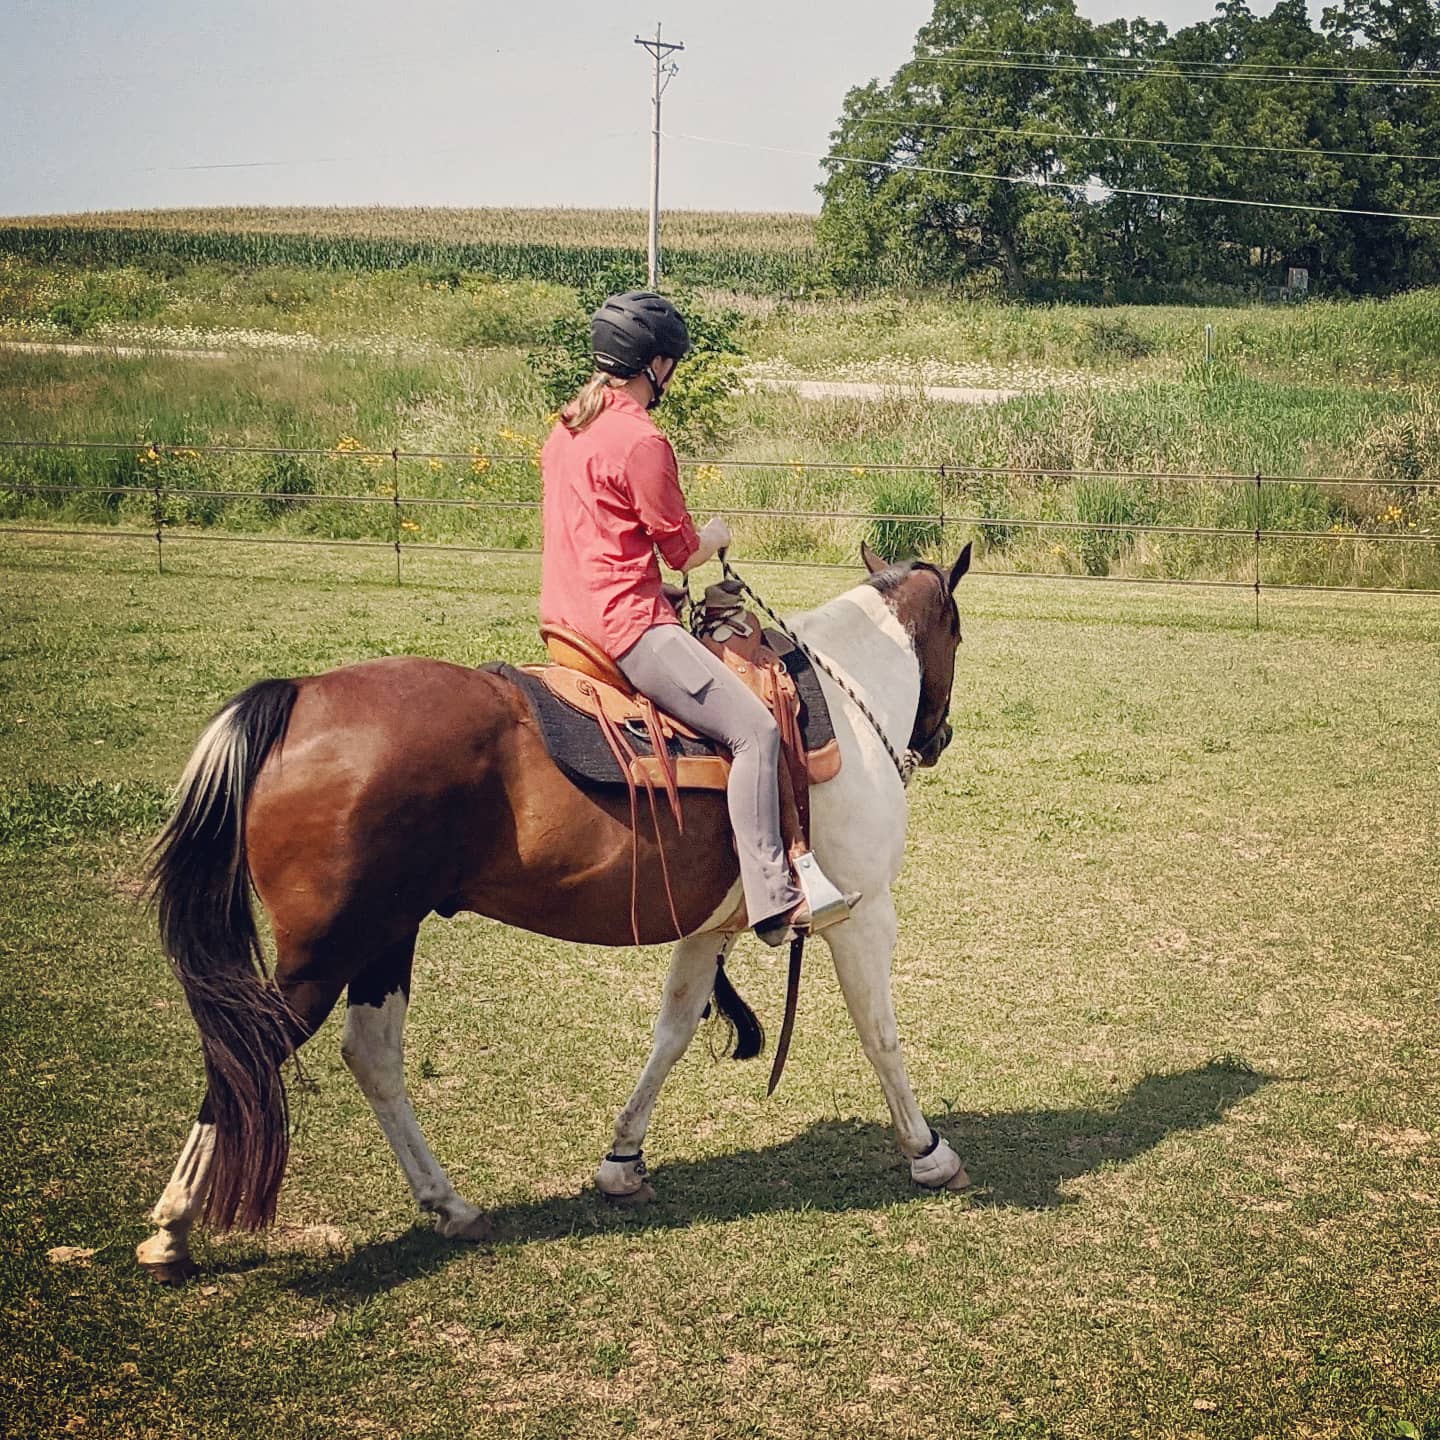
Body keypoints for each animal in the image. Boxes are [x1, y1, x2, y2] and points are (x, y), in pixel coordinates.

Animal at [135, 541, 974, 1280]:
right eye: (958, 634)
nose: (937, 738)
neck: (837, 706)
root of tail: (300, 697)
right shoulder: (863, 916)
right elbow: (880, 1035)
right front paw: (928, 1151)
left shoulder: (709, 929)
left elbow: (672, 1032)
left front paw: (623, 1160)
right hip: (325, 954)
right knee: (248, 1055)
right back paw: (173, 1227)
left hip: (384, 938)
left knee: (370, 1055)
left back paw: (450, 1205)